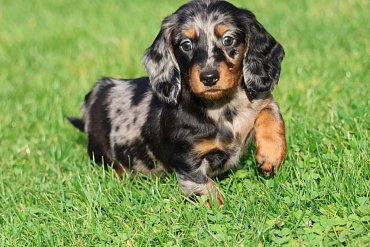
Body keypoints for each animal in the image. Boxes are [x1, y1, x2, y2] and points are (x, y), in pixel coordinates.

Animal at [68, 0, 286, 206]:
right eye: (186, 44)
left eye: (228, 39)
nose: (209, 77)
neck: (222, 108)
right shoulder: (187, 157)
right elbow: (203, 185)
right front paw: (219, 207)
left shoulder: (260, 100)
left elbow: (270, 112)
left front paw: (271, 154)